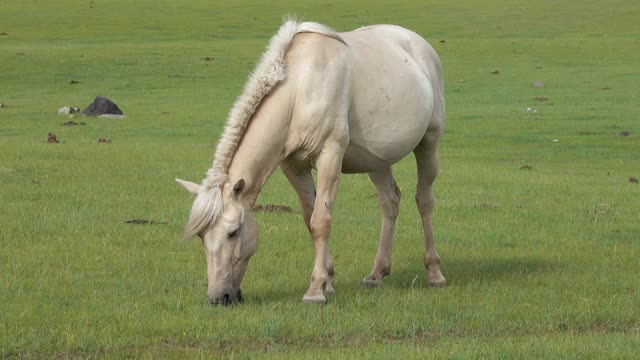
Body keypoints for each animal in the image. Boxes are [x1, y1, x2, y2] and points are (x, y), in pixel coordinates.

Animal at [175, 19, 444, 306]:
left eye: (233, 232)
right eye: (202, 236)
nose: (219, 297)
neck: (300, 90)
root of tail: (418, 43)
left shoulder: (330, 156)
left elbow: (321, 220)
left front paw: (315, 290)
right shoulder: (294, 166)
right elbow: (309, 218)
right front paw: (328, 281)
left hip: (429, 141)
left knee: (424, 201)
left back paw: (434, 273)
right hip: (377, 161)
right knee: (390, 202)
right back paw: (377, 274)